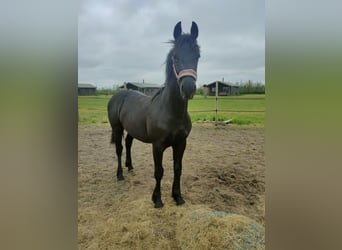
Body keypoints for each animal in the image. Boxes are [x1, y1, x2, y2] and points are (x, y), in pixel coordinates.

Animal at [105, 21, 199, 208]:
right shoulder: (158, 146)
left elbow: (178, 168)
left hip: (131, 129)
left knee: (128, 144)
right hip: (117, 128)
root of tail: (118, 95)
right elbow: (159, 171)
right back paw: (120, 175)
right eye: (175, 57)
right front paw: (157, 200)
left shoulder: (181, 144)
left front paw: (178, 197)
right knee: (119, 149)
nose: (188, 88)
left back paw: (130, 167)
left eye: (198, 55)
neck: (171, 112)